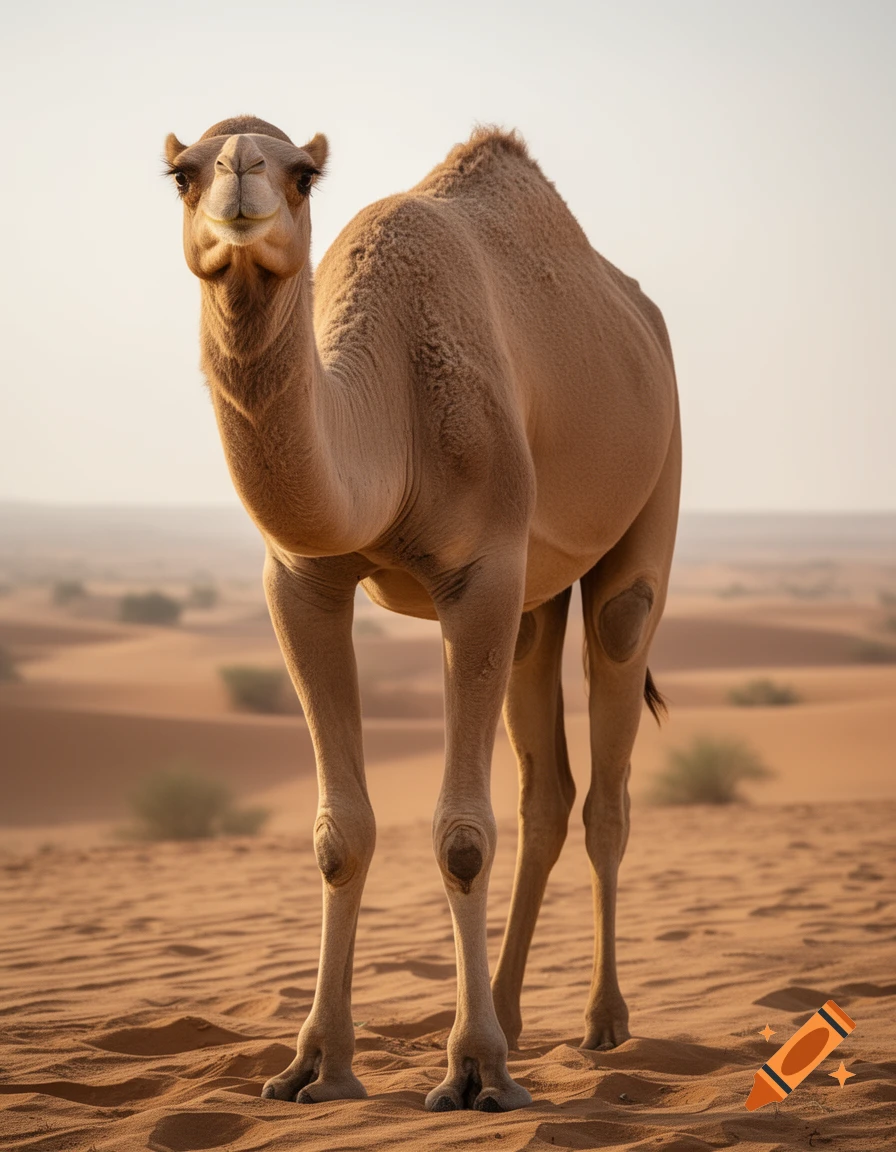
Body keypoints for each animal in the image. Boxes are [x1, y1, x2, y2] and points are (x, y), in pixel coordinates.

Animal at [164, 115, 680, 1113]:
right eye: (181, 173)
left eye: (302, 173)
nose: (241, 176)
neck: (388, 416)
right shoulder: (302, 581)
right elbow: (341, 834)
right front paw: (315, 1066)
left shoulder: (478, 574)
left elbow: (463, 838)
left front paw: (474, 1071)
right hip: (534, 596)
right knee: (547, 789)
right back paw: (516, 1014)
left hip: (650, 495)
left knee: (609, 762)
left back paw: (602, 1023)